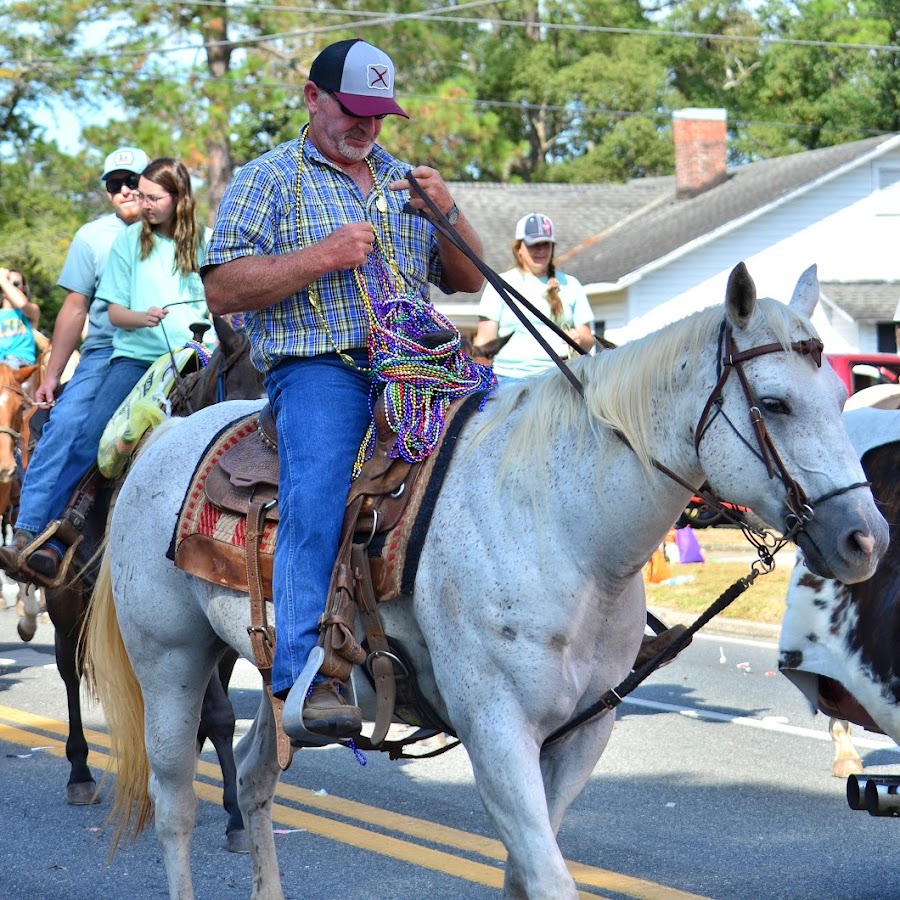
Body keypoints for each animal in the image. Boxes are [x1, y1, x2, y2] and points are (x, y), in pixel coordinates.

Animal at [88, 262, 888, 900]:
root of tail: (166, 434)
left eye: (841, 398)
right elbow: (548, 877)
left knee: (257, 781)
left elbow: (523, 874)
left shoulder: (581, 734)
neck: (565, 530)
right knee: (176, 804)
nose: (866, 539)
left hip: (286, 683)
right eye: (776, 403)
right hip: (170, 660)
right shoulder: (497, 731)